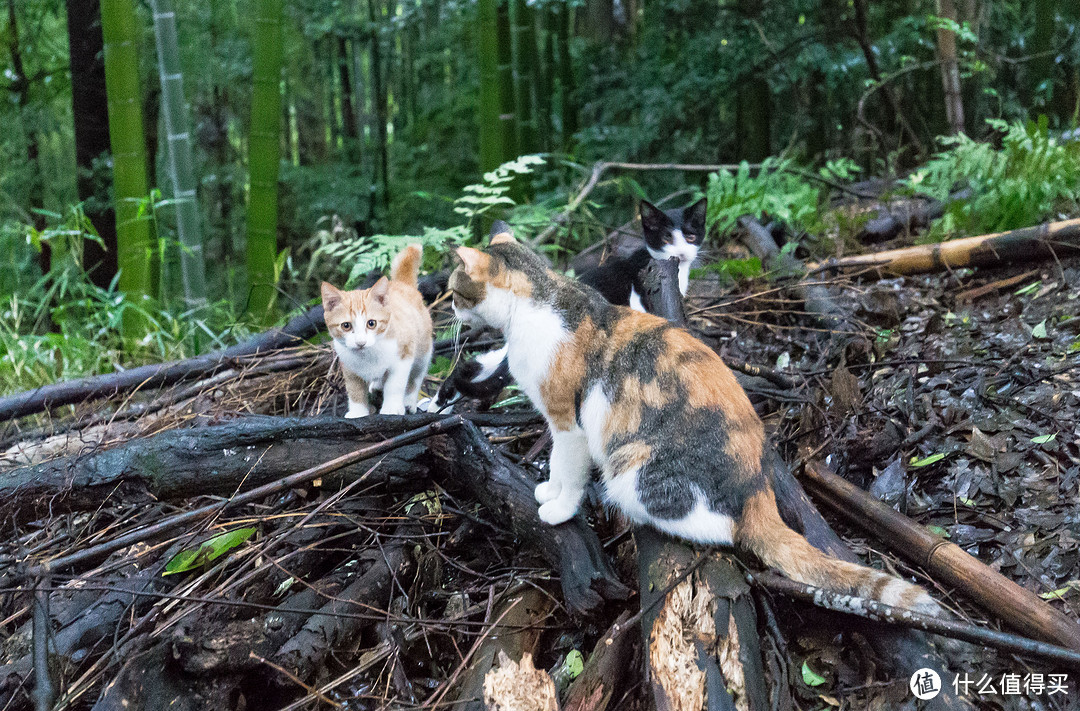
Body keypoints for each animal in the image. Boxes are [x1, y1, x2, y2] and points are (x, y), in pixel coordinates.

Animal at [317, 242, 432, 414]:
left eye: (371, 323)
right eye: (346, 325)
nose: (360, 342)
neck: (368, 355)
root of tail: (401, 284)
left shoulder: (403, 356)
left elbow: (395, 384)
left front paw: (391, 407)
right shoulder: (348, 365)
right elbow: (354, 389)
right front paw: (358, 412)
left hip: (423, 349)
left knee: (416, 375)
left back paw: (409, 401)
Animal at [447, 227, 946, 613]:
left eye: (453, 290)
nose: (449, 309)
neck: (540, 303)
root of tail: (759, 490)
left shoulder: (567, 422)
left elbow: (565, 466)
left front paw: (559, 506)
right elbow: (554, 466)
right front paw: (549, 491)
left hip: (633, 469)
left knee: (723, 531)